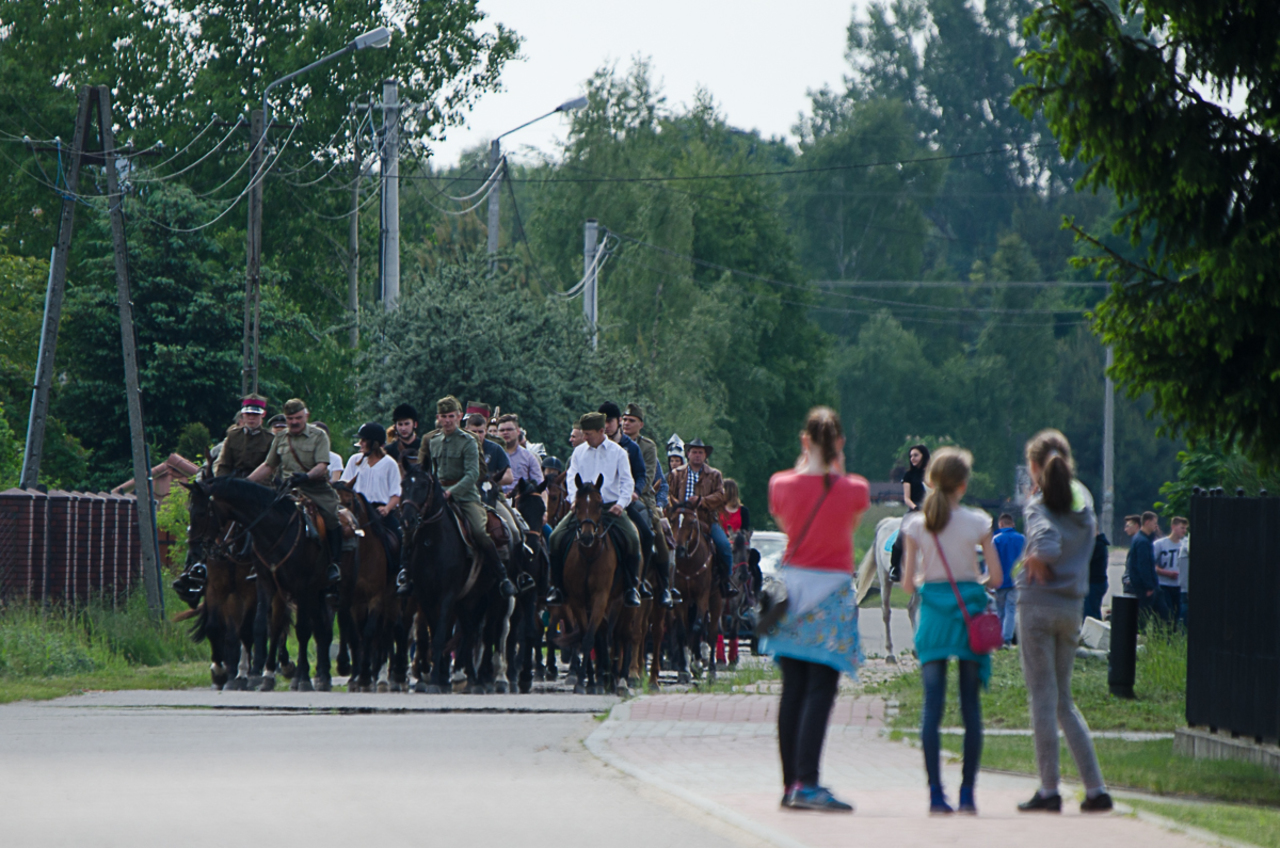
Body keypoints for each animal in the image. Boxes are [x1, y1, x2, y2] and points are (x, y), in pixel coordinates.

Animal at [194, 479, 335, 691]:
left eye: (202, 512)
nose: (196, 548)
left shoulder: (292, 588)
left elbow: (292, 629)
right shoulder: (230, 587)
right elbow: (234, 628)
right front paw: (226, 674)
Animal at [558, 473, 622, 696]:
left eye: (600, 504)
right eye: (577, 505)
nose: (586, 536)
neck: (589, 555)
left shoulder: (601, 597)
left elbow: (589, 638)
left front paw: (593, 682)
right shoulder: (577, 600)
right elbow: (586, 636)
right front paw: (584, 682)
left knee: (608, 635)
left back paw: (610, 679)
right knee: (601, 634)